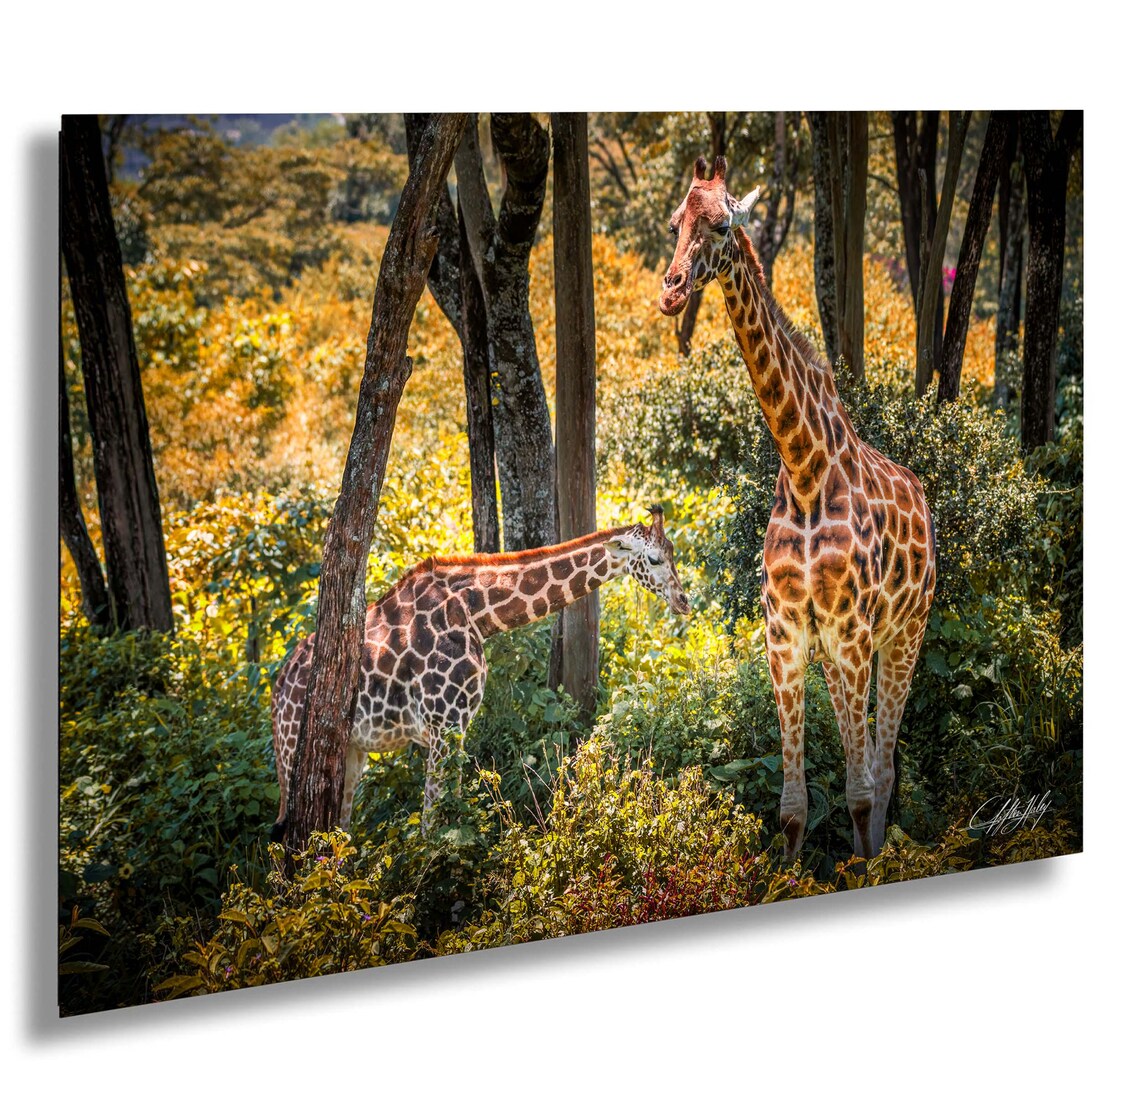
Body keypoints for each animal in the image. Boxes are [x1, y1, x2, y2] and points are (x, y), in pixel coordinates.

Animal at [271, 507, 690, 839]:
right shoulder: (443, 723)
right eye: (655, 559)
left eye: (671, 552)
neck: (475, 611)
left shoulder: (453, 727)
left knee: (336, 827)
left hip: (351, 750)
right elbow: (433, 821)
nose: (684, 601)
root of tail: (276, 690)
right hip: (293, 752)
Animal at [659, 155, 936, 859]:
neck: (807, 471)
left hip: (904, 631)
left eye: (724, 225)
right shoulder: (784, 632)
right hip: (846, 648)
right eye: (676, 223)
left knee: (882, 768)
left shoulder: (852, 629)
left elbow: (860, 790)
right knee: (866, 755)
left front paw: (867, 867)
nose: (671, 291)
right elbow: (792, 806)